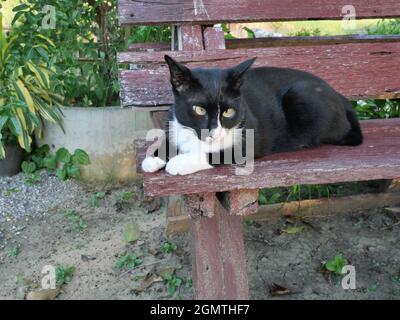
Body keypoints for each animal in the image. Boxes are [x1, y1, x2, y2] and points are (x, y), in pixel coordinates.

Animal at [141, 55, 362, 175]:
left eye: (229, 111)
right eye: (199, 110)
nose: (215, 133)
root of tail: (339, 95)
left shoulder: (250, 136)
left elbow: (218, 153)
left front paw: (179, 162)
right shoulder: (175, 121)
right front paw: (154, 157)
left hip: (302, 94)